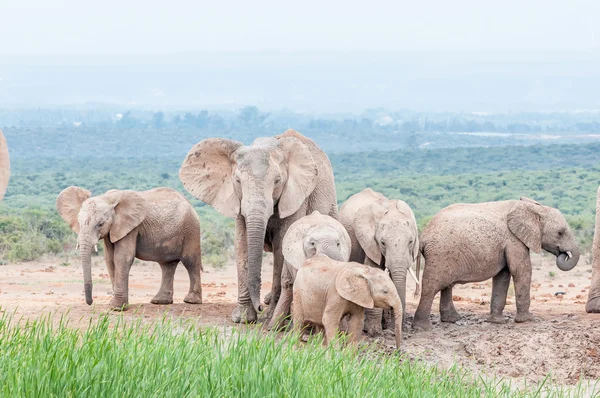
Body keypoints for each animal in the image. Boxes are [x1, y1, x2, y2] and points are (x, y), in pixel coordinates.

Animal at [55, 185, 204, 310]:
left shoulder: (131, 227)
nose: (90, 302)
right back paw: (159, 301)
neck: (107, 199)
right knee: (167, 265)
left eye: (101, 224)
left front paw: (117, 308)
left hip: (191, 229)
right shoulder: (112, 230)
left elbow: (121, 258)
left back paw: (191, 301)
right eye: (79, 222)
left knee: (190, 261)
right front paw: (113, 304)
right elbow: (110, 259)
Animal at [178, 130, 338, 324]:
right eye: (237, 181)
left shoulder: (296, 197)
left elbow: (281, 244)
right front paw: (243, 318)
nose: (260, 306)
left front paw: (269, 316)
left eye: (277, 181)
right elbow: (242, 243)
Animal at [340, 189, 420, 336]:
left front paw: (392, 328)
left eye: (411, 241)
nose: (399, 329)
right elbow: (373, 268)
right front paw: (374, 331)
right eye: (382, 242)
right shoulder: (370, 244)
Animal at [412, 196, 580, 330]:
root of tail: (423, 236)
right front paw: (527, 320)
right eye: (560, 232)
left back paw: (452, 319)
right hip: (440, 253)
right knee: (432, 286)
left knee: (447, 284)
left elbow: (503, 276)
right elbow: (521, 270)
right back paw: (423, 327)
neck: (534, 208)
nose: (564, 254)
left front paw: (497, 322)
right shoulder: (513, 239)